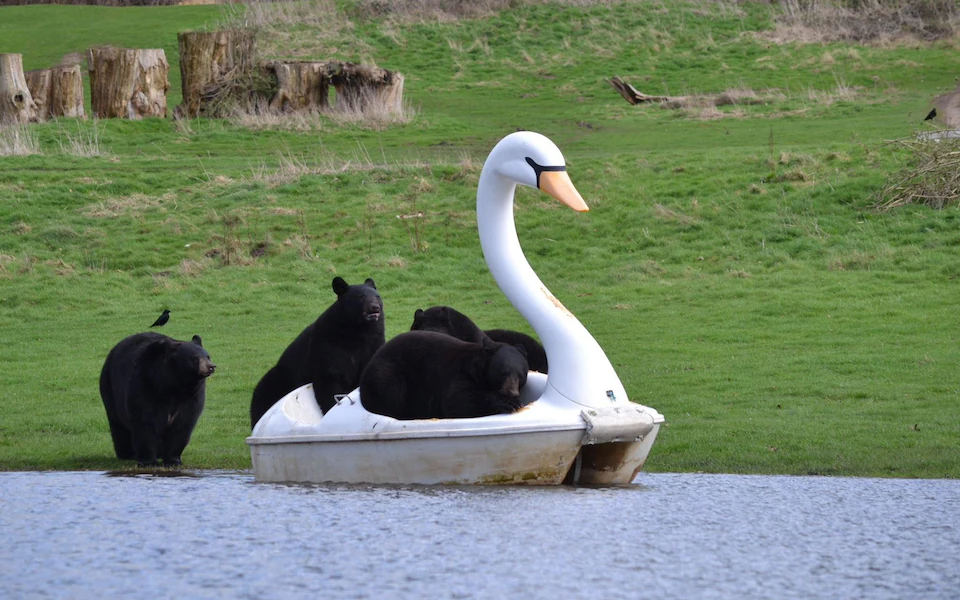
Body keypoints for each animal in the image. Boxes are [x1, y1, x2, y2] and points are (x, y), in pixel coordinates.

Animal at [99, 332, 216, 467]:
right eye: (195, 358)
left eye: (208, 356)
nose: (211, 366)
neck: (174, 386)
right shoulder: (145, 386)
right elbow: (145, 424)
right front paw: (149, 462)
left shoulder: (191, 397)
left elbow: (182, 425)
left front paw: (173, 461)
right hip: (109, 387)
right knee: (118, 424)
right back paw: (127, 454)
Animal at [249, 276, 385, 428]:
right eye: (360, 297)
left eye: (377, 296)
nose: (374, 307)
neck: (358, 331)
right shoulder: (327, 345)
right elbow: (328, 380)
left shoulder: (373, 343)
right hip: (276, 380)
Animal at [359, 330, 530, 420]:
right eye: (503, 373)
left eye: (521, 375)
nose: (512, 392)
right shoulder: (458, 372)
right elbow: (458, 401)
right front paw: (509, 403)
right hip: (386, 373)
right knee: (390, 389)